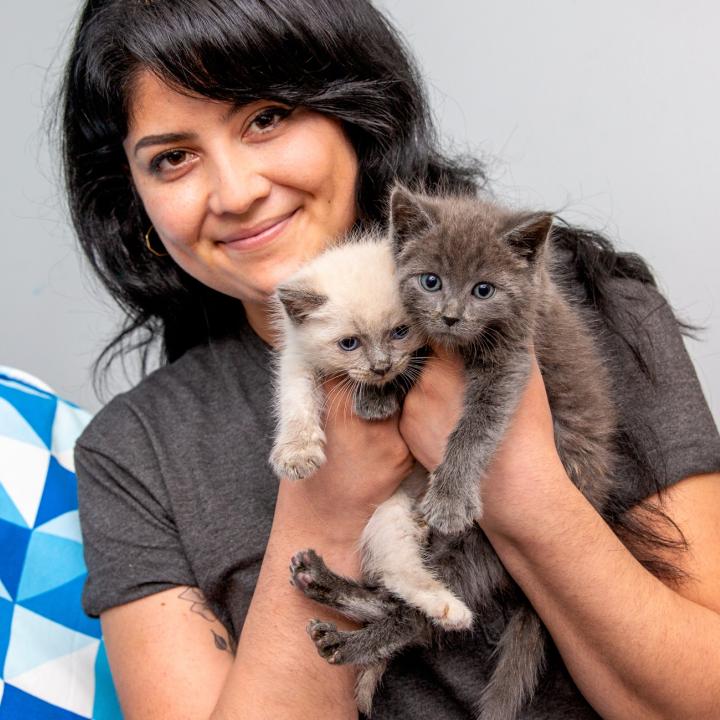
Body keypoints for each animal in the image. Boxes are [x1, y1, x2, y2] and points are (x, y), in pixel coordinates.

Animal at [292, 187, 620, 720]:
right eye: (431, 281)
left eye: (484, 290)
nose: (450, 316)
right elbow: (408, 359)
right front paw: (378, 394)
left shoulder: (513, 359)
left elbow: (475, 425)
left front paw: (449, 497)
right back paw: (323, 584)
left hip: (483, 545)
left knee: (424, 615)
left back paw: (350, 642)